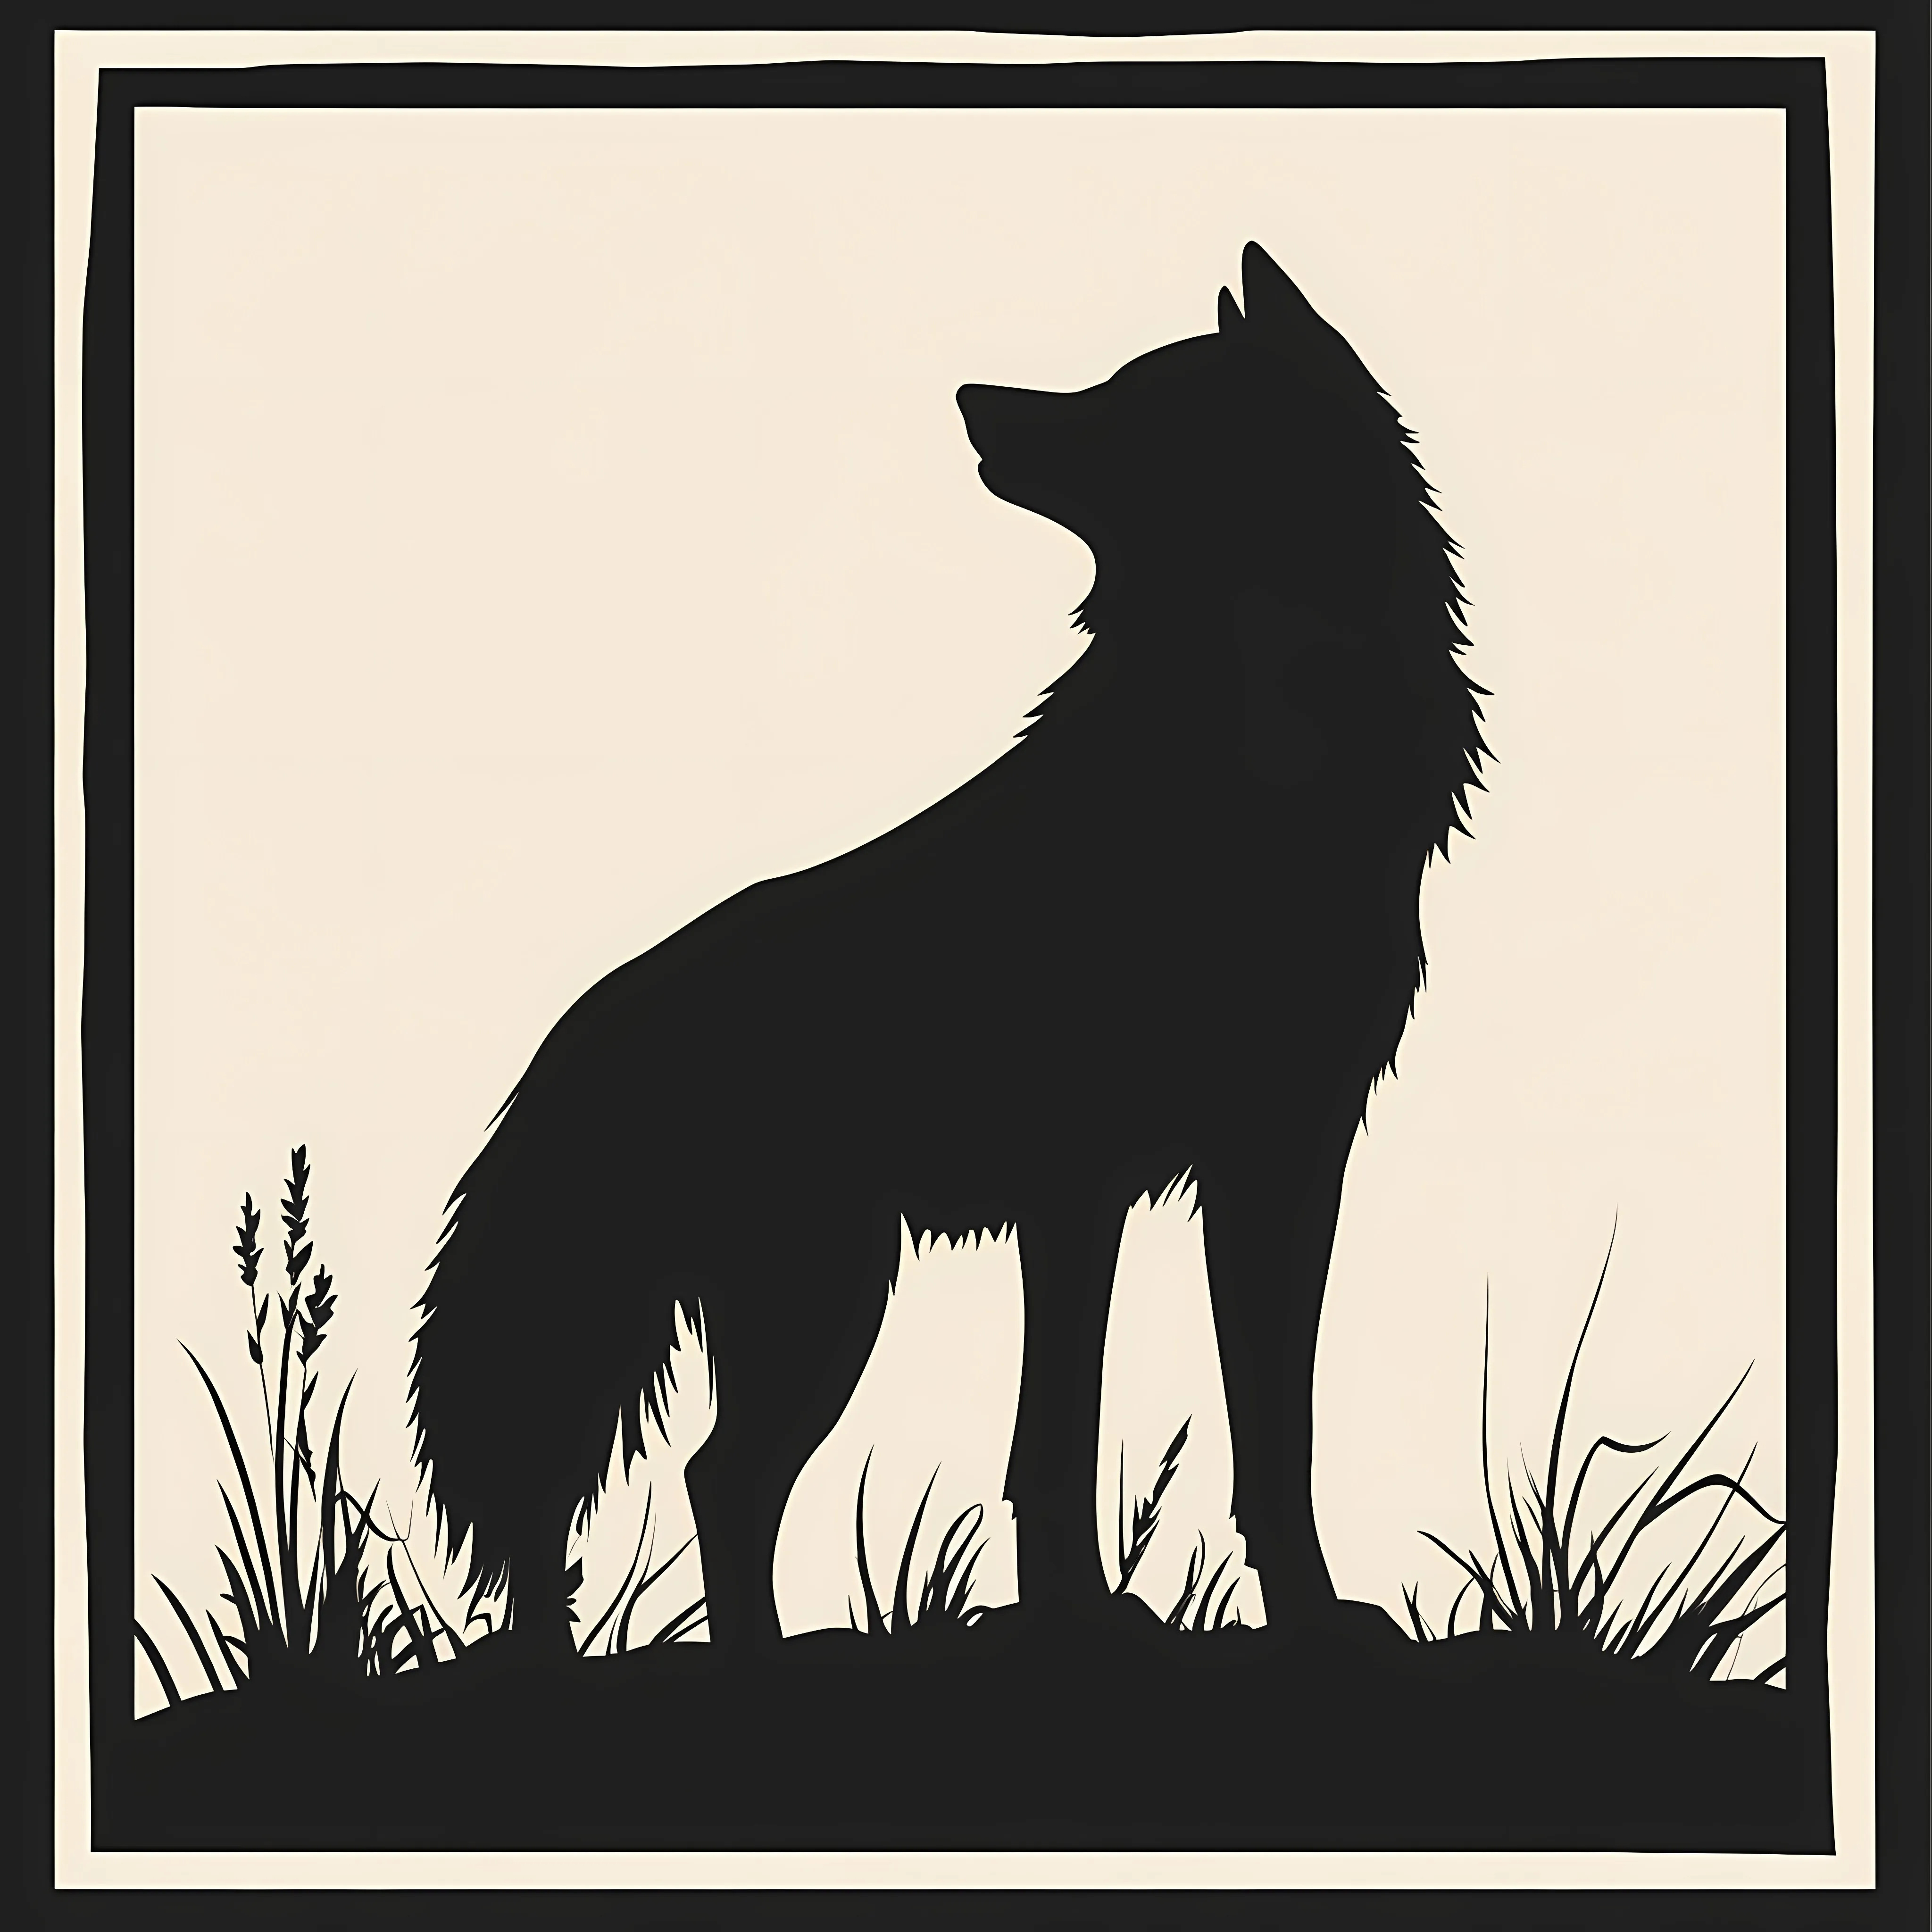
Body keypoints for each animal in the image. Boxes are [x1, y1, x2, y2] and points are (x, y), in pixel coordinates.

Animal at [408, 243, 1488, 1661]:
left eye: (1136, 401)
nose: (978, 400)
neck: (1246, 763)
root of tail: (571, 1040)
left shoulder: (1257, 1161)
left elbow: (1231, 1427)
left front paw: (1208, 1610)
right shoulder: (1099, 1176)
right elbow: (1078, 1436)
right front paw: (1116, 1616)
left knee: (651, 1491)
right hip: (819, 1300)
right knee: (696, 1478)